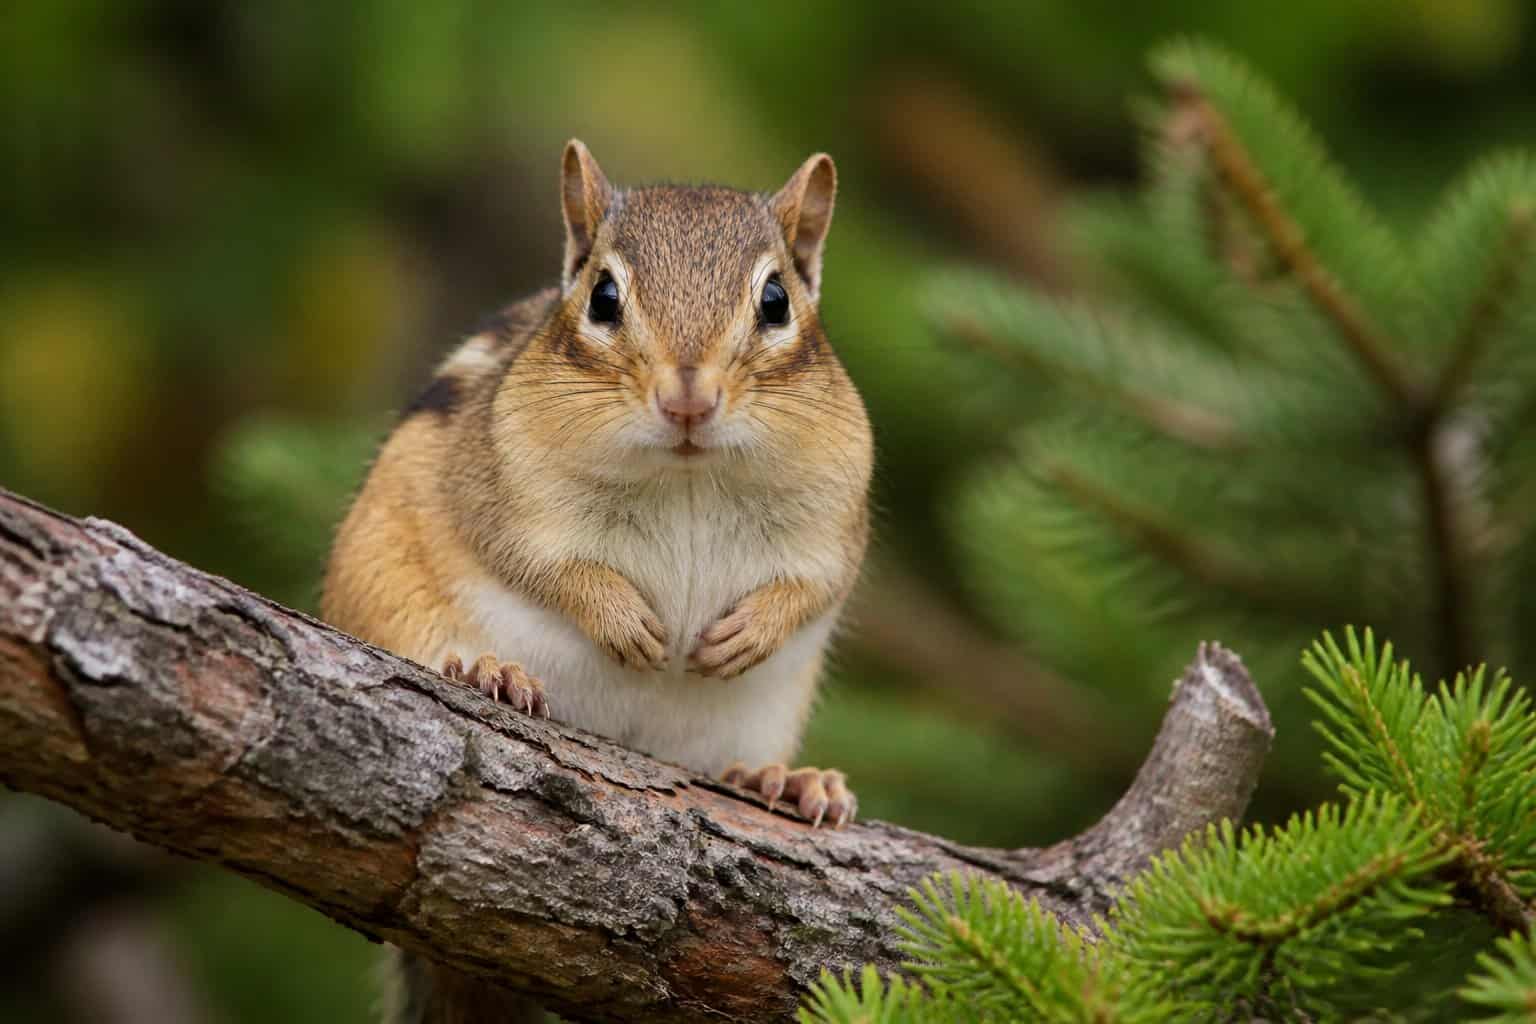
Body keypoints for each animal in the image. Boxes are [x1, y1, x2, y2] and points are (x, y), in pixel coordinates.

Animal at [320, 140, 873, 1022]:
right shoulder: (497, 486)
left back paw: (786, 781)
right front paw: (624, 621)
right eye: (604, 297)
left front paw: (747, 633)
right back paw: (487, 671)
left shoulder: (837, 522)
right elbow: (543, 564)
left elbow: (814, 586)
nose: (689, 398)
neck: (689, 474)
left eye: (776, 301)